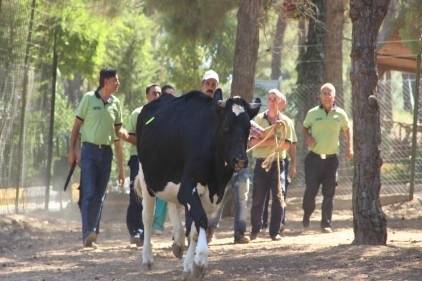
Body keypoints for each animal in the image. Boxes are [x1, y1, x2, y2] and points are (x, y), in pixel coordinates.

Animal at [137, 88, 258, 278]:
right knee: (147, 216)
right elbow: (200, 219)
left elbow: (194, 230)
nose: (240, 160)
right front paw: (200, 260)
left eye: (248, 128)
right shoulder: (188, 188)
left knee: (173, 205)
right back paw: (147, 258)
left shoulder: (210, 195)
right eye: (226, 126)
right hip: (146, 177)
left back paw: (178, 242)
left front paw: (189, 266)